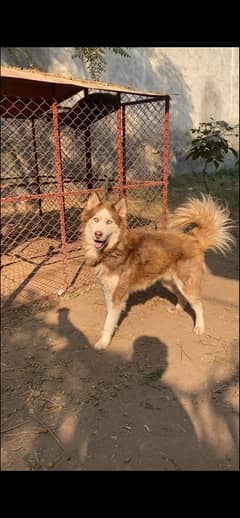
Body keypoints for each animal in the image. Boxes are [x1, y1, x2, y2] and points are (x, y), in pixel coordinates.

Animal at [81, 193, 233, 352]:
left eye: (109, 222)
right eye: (95, 219)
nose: (98, 234)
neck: (113, 249)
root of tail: (193, 238)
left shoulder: (118, 294)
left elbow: (108, 322)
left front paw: (103, 342)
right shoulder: (107, 291)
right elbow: (110, 316)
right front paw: (113, 329)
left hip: (187, 285)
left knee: (198, 305)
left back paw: (200, 327)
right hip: (169, 282)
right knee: (181, 297)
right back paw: (178, 309)